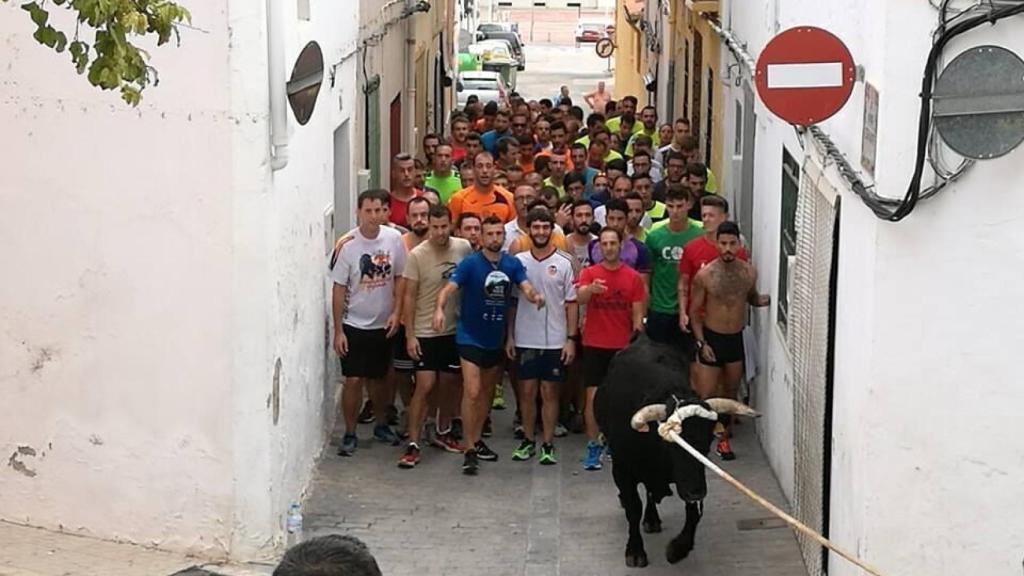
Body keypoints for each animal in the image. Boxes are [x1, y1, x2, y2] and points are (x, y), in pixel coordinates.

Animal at [598, 332, 716, 565]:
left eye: (706, 446)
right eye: (673, 448)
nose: (696, 491)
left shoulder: (689, 479)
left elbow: (694, 512)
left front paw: (678, 548)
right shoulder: (622, 468)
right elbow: (633, 507)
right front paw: (635, 551)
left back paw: (652, 519)